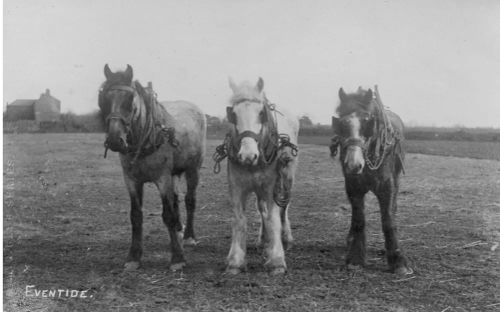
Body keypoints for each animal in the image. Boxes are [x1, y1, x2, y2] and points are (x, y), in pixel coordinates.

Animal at [97, 64, 207, 270]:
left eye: (130, 99)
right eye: (105, 99)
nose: (115, 140)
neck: (146, 138)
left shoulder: (162, 179)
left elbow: (168, 215)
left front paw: (177, 258)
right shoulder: (132, 181)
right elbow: (136, 215)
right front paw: (134, 257)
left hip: (193, 170)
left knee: (190, 200)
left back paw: (189, 236)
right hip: (174, 174)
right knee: (176, 199)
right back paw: (179, 230)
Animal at [213, 78, 298, 276]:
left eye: (261, 113)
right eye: (233, 114)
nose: (248, 155)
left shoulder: (270, 188)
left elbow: (274, 218)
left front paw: (277, 261)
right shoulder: (236, 187)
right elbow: (239, 220)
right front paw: (235, 261)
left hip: (287, 178)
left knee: (284, 207)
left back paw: (286, 239)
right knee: (261, 210)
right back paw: (264, 240)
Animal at [330, 86, 412, 274]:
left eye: (367, 122)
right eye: (342, 124)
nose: (353, 165)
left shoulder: (387, 186)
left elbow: (388, 219)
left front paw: (398, 261)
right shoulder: (353, 186)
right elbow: (358, 219)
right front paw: (355, 258)